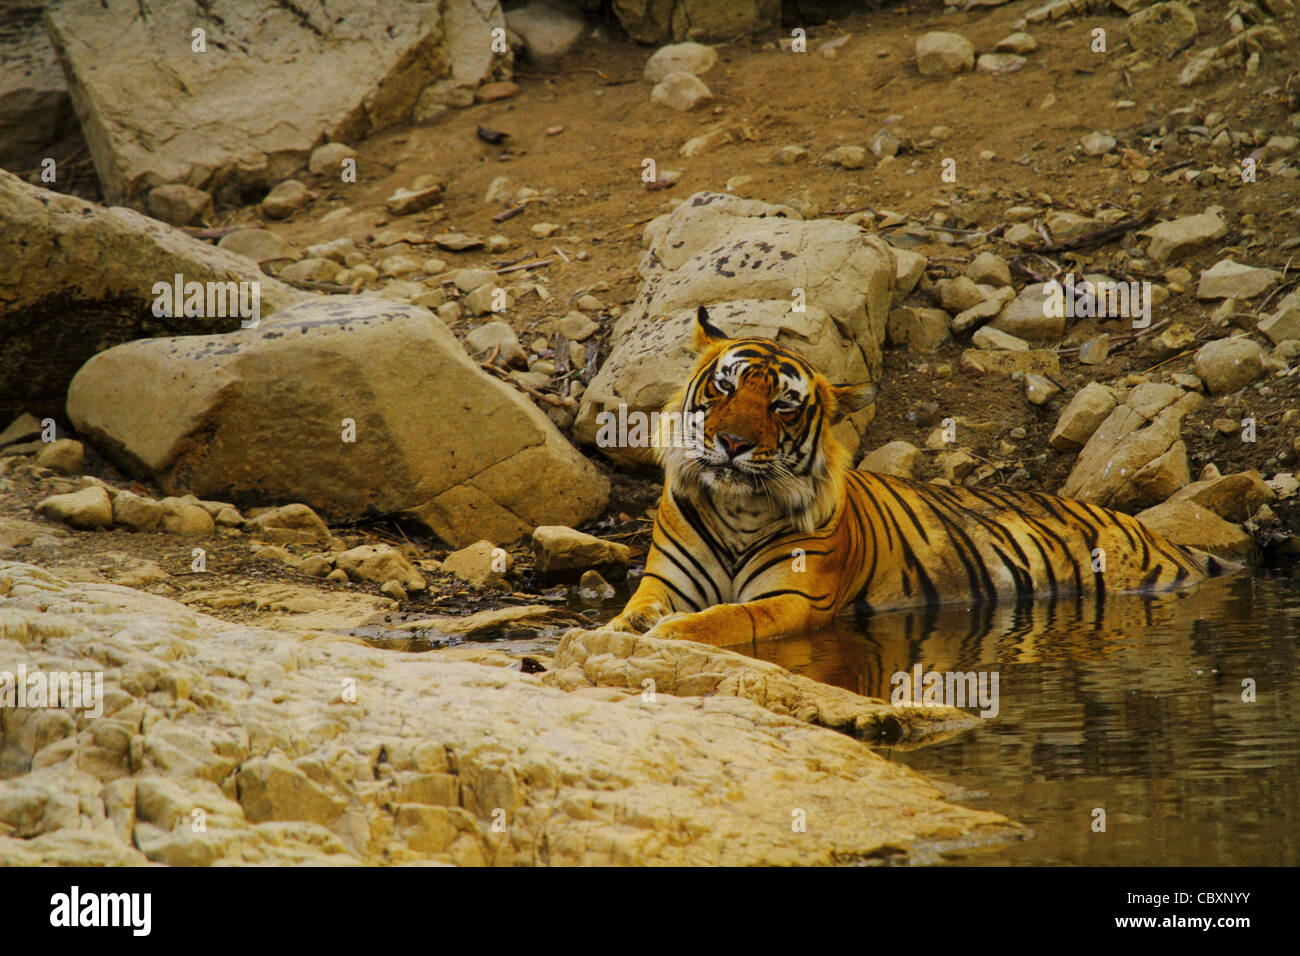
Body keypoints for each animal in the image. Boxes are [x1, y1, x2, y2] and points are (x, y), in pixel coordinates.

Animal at [608, 306, 1227, 650]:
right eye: (724, 387)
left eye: (783, 405)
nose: (733, 445)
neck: (737, 508)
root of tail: (1161, 536)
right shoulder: (664, 581)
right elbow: (636, 610)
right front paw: (624, 628)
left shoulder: (791, 599)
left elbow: (725, 619)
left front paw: (670, 633)